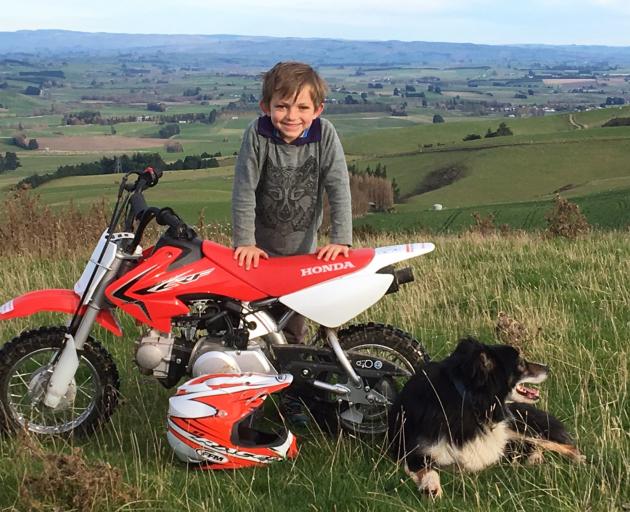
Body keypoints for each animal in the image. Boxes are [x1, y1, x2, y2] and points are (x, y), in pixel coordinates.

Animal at [390, 338, 588, 498]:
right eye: (521, 364)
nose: (548, 368)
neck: (467, 399)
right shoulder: (411, 451)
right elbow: (429, 470)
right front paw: (431, 488)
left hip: (514, 428)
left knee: (559, 445)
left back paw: (578, 460)